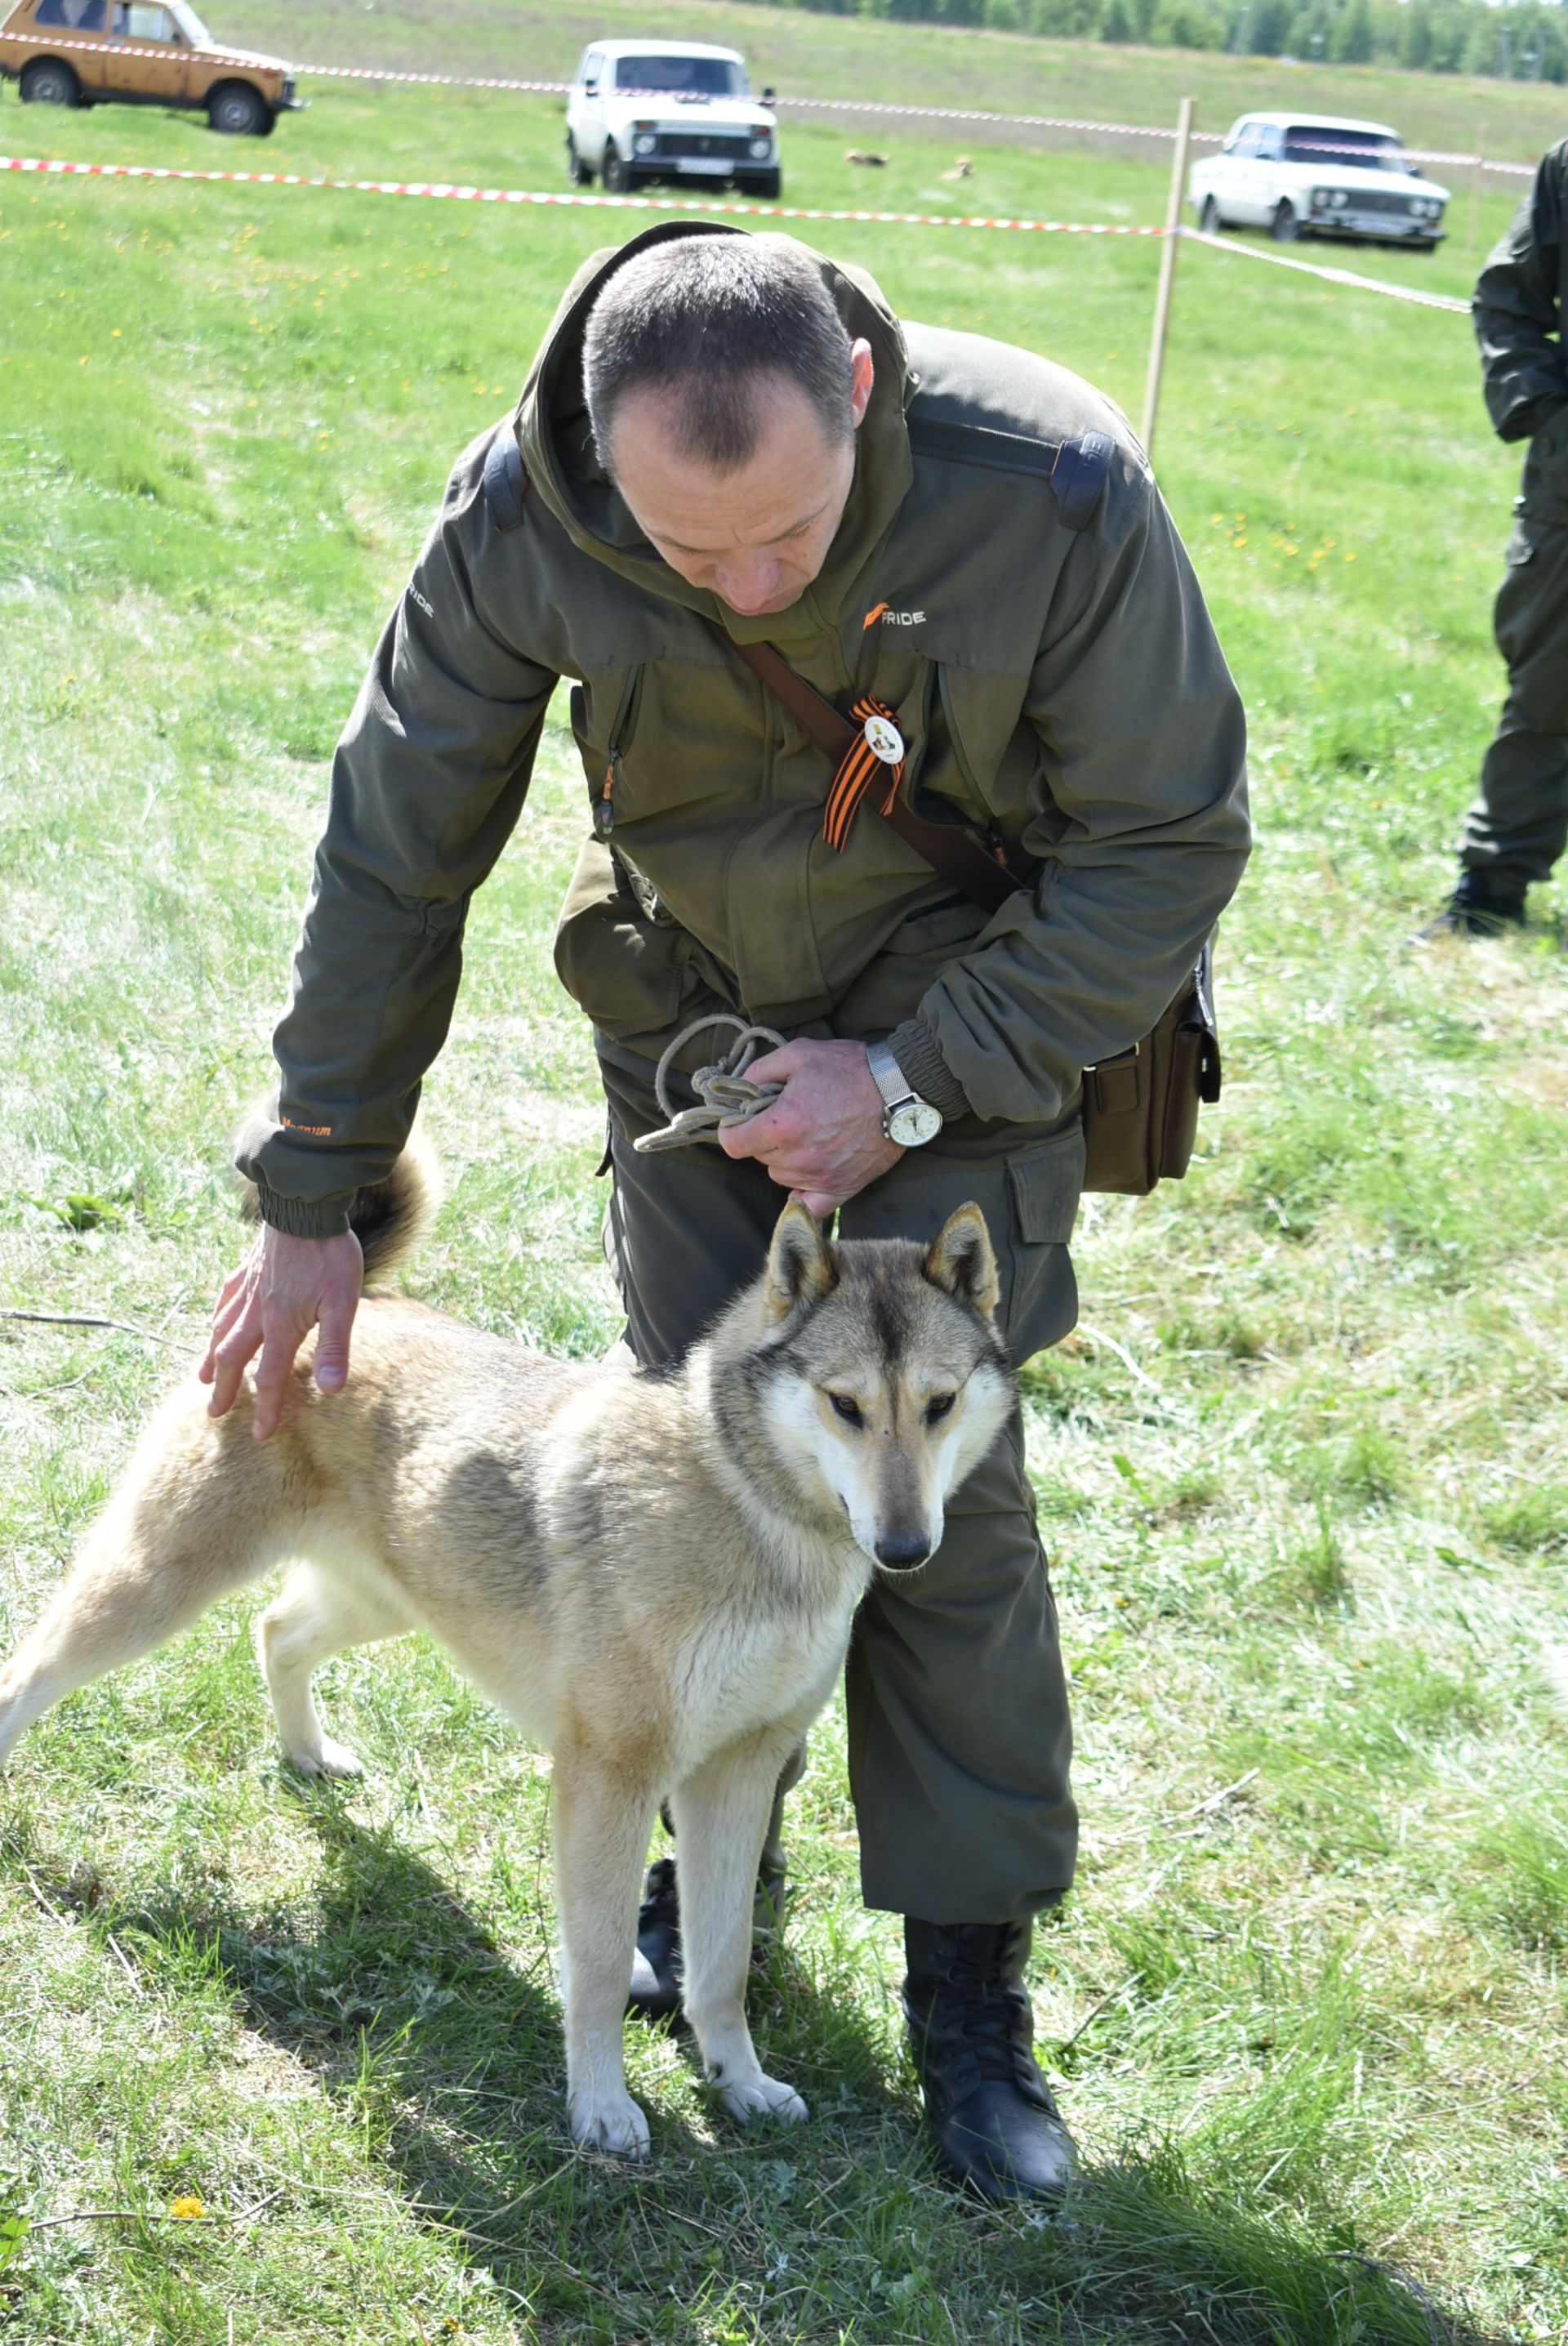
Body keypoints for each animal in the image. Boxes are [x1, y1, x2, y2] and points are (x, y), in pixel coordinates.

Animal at [0, 1144, 1008, 2148]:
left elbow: (721, 1965)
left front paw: (740, 2081)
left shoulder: (739, 1774)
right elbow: (596, 1966)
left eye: (940, 1404)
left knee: (276, 1631)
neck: (749, 1509)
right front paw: (601, 2104)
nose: (907, 1548)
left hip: (384, 1602)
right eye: (845, 1406)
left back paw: (307, 1754)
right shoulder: (611, 1778)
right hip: (158, 1585)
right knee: (32, 1669)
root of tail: (351, 1303)